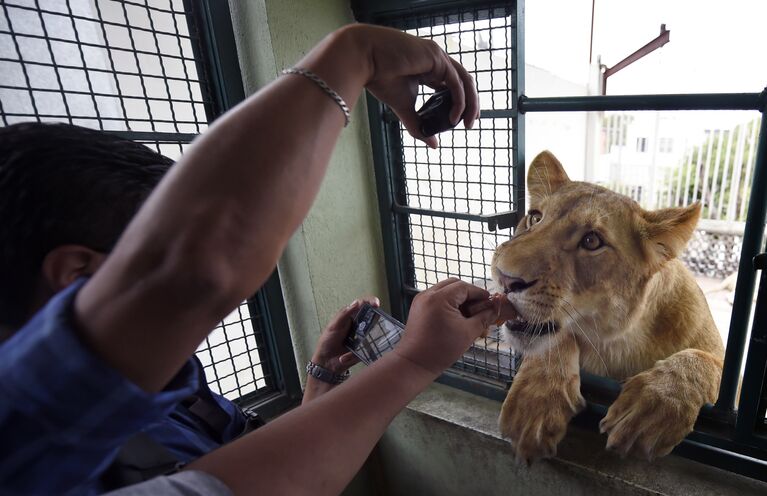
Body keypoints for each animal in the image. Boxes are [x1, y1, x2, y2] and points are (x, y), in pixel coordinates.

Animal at [492, 149, 728, 464]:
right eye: (534, 217)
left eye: (592, 241)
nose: (505, 278)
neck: (620, 344)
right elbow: (553, 341)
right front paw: (533, 404)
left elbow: (703, 360)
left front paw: (653, 407)